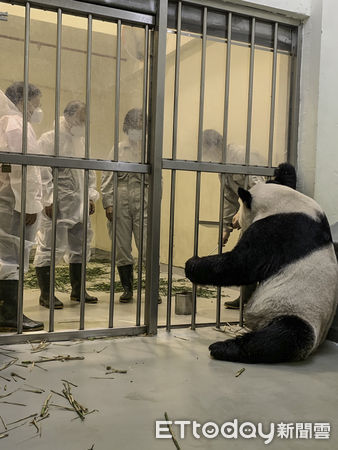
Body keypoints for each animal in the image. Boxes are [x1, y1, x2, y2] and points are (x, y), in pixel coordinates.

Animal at [185, 171, 338, 364]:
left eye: (240, 208)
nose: (234, 221)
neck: (285, 204)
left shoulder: (276, 231)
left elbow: (240, 265)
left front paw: (191, 264)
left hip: (298, 313)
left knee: (283, 337)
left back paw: (223, 348)